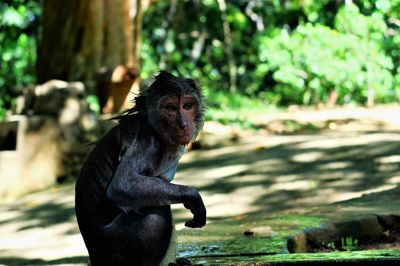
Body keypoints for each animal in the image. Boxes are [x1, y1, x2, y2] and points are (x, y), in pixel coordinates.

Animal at [75, 71, 206, 266]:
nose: (183, 124)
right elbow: (123, 184)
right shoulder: (147, 140)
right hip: (116, 250)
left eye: (188, 106)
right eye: (171, 108)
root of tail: (95, 257)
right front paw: (192, 196)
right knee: (156, 212)